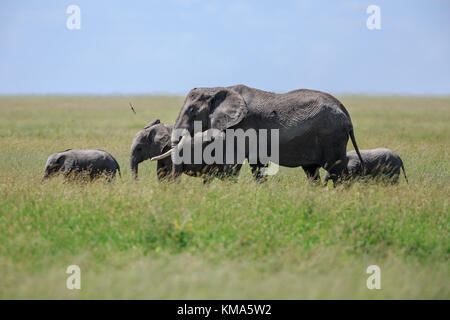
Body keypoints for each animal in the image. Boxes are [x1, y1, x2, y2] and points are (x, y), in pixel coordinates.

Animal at [156, 84, 364, 185]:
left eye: (192, 110)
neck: (218, 89)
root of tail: (345, 112)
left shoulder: (241, 127)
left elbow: (233, 164)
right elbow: (256, 166)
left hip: (332, 137)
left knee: (336, 171)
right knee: (311, 171)